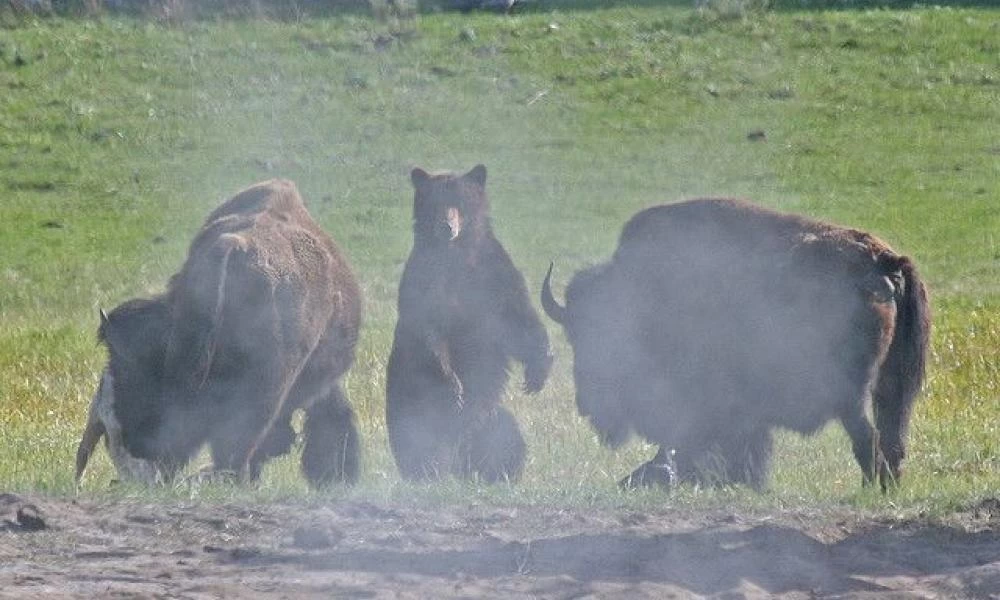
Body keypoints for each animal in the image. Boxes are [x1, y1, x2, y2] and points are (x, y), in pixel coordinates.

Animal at [384, 164, 556, 482]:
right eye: (436, 202)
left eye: (460, 202)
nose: (447, 226)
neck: (457, 255)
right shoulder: (426, 278)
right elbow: (429, 328)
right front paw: (453, 383)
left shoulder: (494, 270)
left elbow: (518, 316)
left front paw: (538, 371)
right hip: (412, 407)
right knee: (424, 443)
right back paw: (432, 474)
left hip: (488, 418)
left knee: (505, 434)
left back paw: (497, 473)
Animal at [544, 199, 932, 490]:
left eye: (597, 338)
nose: (587, 404)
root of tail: (884, 261)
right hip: (891, 387)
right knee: (892, 441)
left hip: (849, 396)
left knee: (867, 440)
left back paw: (866, 490)